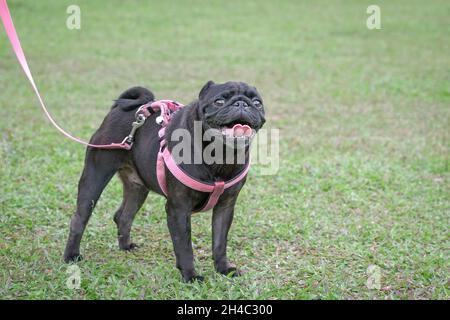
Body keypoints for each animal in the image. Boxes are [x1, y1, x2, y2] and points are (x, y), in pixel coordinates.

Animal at [64, 80, 268, 282]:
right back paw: (71, 256)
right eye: (219, 101)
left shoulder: (225, 207)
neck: (220, 155)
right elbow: (184, 245)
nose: (241, 103)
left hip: (137, 188)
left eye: (257, 103)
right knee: (79, 218)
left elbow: (219, 242)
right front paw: (190, 275)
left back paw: (126, 246)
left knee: (124, 216)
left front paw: (224, 268)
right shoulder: (179, 208)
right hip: (95, 177)